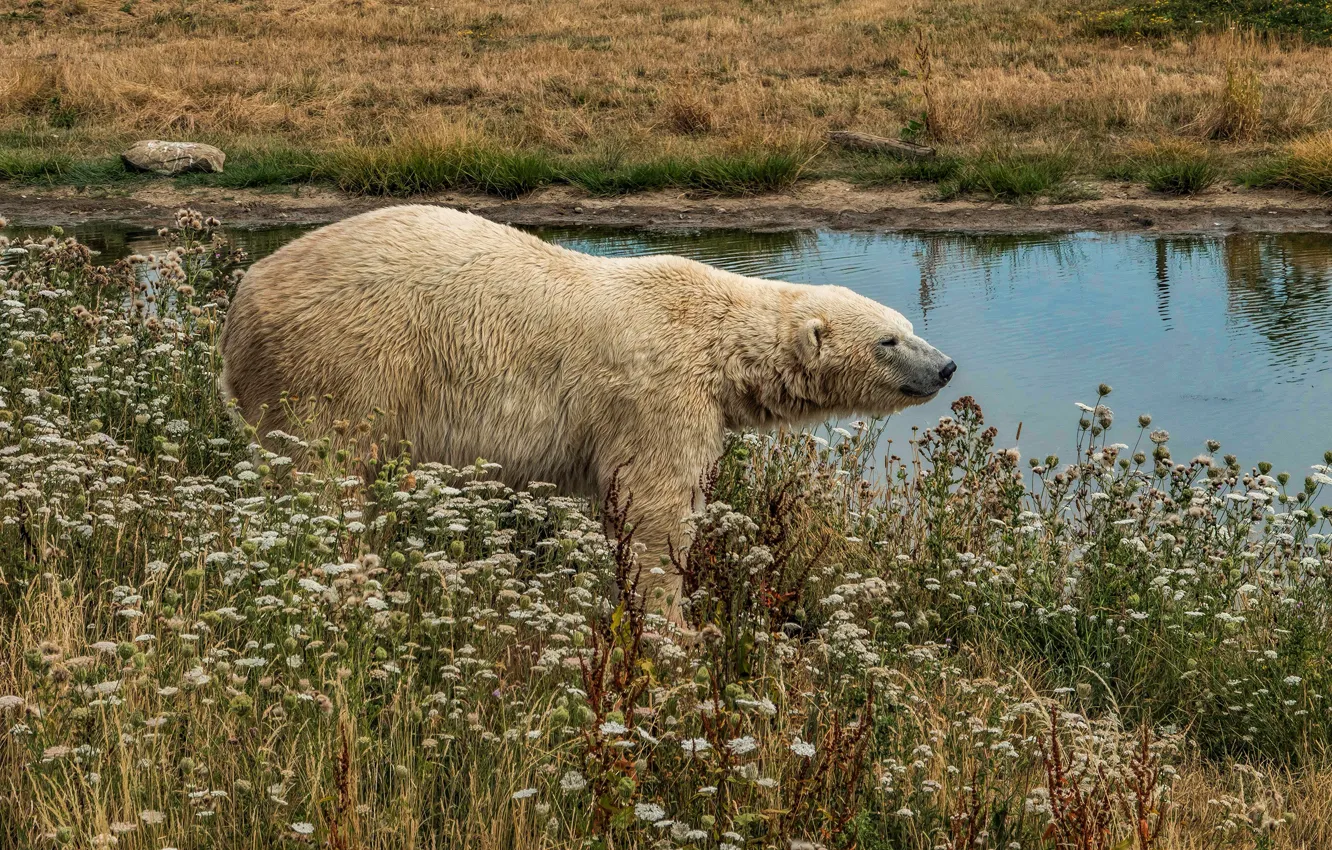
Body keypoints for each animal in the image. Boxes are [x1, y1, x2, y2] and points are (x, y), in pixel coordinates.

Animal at [218, 203, 953, 623]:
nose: (945, 367)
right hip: (343, 363)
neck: (716, 336)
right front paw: (672, 626)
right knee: (323, 472)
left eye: (908, 326)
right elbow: (653, 509)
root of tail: (243, 301)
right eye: (890, 341)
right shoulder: (658, 393)